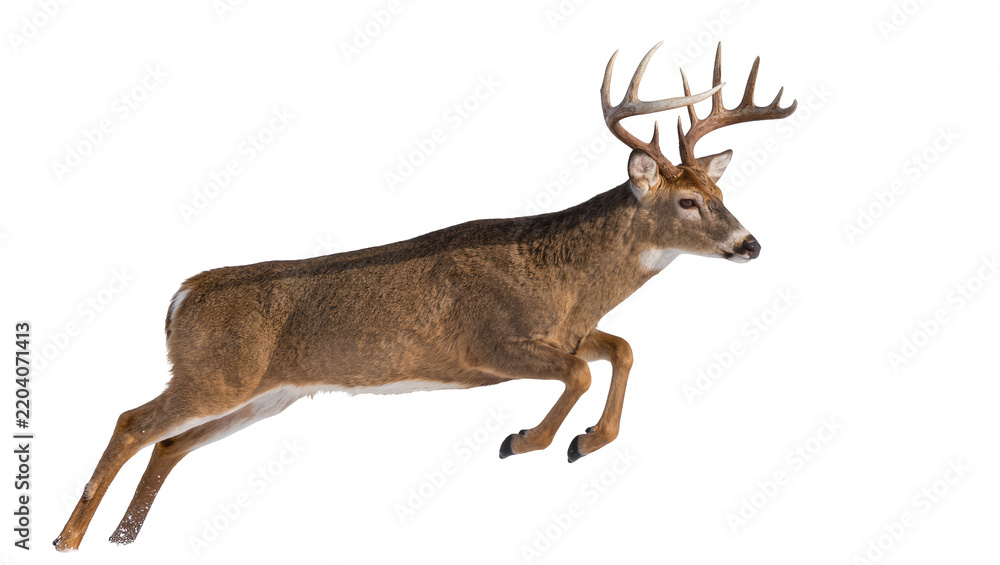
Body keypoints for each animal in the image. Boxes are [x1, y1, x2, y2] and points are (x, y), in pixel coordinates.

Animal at [53, 42, 795, 551]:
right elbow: (583, 370)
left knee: (169, 445)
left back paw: (124, 537)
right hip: (216, 374)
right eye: (687, 201)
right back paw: (70, 537)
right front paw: (525, 440)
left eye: (722, 191)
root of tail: (181, 295)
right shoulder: (486, 344)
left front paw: (586, 441)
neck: (566, 281)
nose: (750, 244)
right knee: (132, 422)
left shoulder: (565, 331)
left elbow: (621, 348)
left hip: (264, 393)